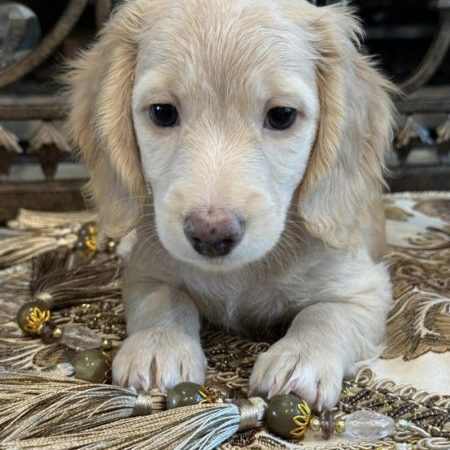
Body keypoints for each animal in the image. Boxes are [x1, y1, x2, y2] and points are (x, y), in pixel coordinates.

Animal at [65, 0, 396, 410]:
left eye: (282, 116)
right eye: (162, 112)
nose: (210, 235)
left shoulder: (365, 289)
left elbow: (324, 314)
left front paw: (300, 358)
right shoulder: (146, 271)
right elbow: (164, 299)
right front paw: (158, 345)